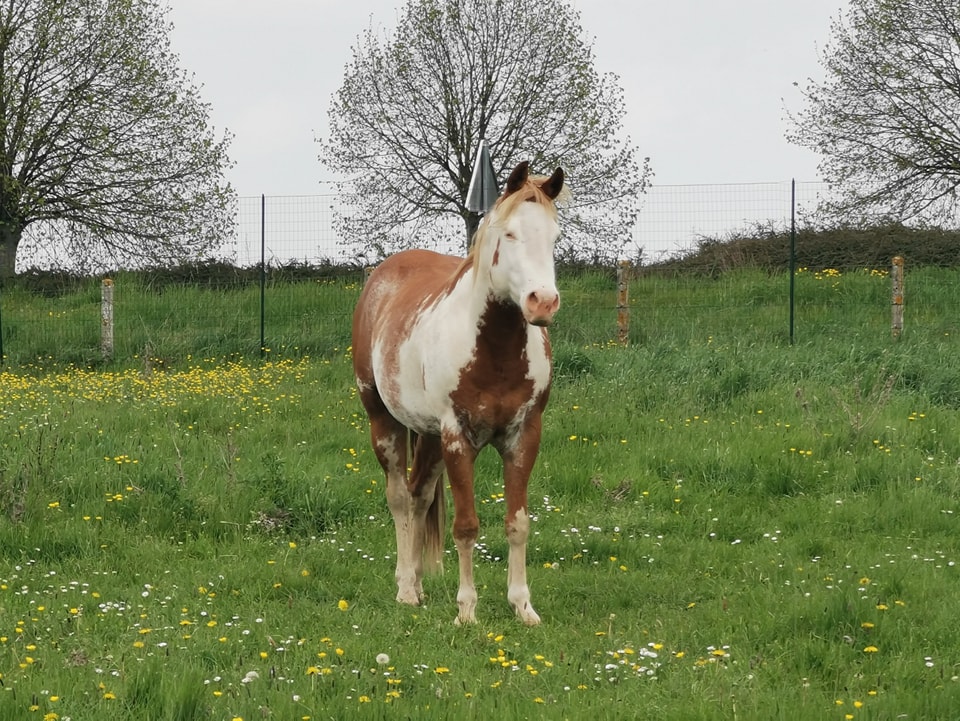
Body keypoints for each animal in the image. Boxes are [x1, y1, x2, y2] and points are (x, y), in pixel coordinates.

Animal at [351, 161, 565, 626]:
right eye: (509, 234)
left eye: (555, 236)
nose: (542, 303)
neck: (493, 352)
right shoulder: (457, 438)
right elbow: (466, 526)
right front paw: (467, 610)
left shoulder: (524, 436)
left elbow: (518, 523)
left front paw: (523, 606)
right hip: (384, 421)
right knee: (399, 498)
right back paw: (405, 589)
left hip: (428, 435)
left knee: (419, 496)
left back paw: (416, 584)